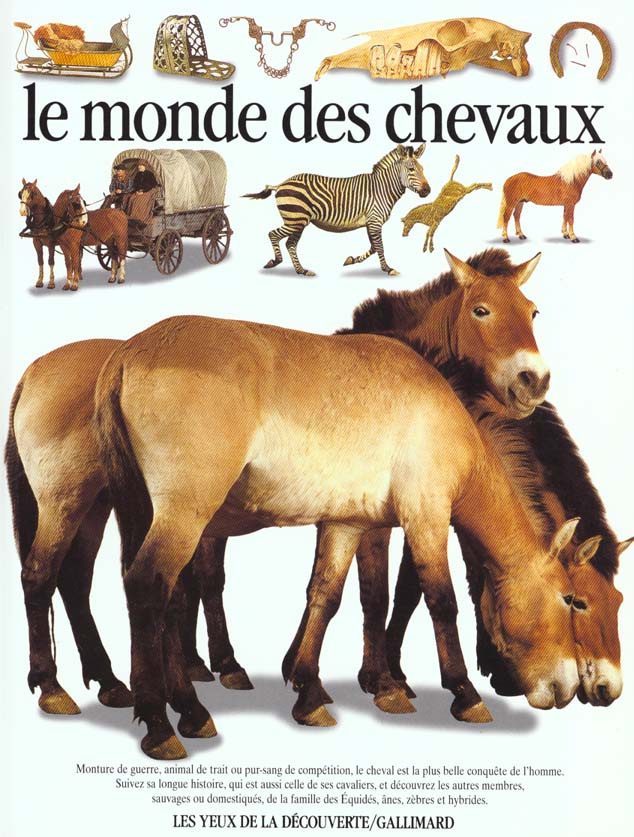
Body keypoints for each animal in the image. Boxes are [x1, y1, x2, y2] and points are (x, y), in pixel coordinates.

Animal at [4, 248, 551, 720]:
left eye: (533, 311)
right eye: (481, 310)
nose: (535, 381)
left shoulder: (357, 517)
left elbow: (343, 592)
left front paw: (330, 678)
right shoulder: (396, 518)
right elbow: (392, 595)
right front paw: (389, 682)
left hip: (102, 510)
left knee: (78, 582)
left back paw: (114, 683)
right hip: (91, 506)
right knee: (55, 577)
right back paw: (87, 694)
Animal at [93, 311, 581, 759]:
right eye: (568, 599)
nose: (569, 687)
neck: (441, 412)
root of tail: (127, 353)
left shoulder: (347, 526)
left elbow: (327, 597)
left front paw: (310, 692)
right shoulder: (426, 516)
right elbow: (440, 602)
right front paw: (463, 693)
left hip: (152, 514)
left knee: (167, 598)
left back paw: (187, 709)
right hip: (185, 517)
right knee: (149, 588)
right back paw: (165, 722)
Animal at [244, 144, 430, 276]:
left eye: (423, 169)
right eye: (411, 169)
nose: (428, 191)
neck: (382, 189)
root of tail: (281, 183)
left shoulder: (370, 223)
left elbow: (374, 246)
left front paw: (351, 260)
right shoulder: (375, 221)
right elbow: (380, 246)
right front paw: (388, 269)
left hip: (298, 222)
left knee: (290, 244)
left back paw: (302, 270)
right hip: (295, 219)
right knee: (273, 234)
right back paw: (275, 262)